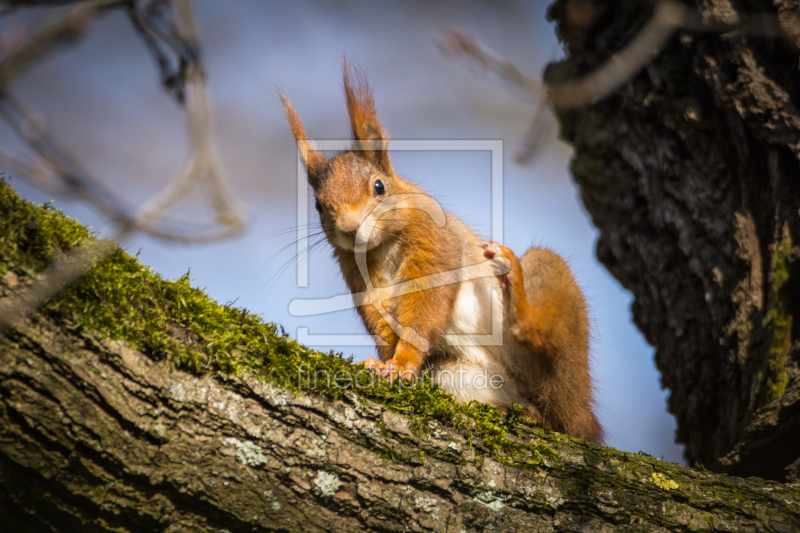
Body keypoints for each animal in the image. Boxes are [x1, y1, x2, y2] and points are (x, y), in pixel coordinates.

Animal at [280, 64, 600, 442]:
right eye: (318, 205)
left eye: (379, 187)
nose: (349, 228)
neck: (381, 247)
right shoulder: (358, 277)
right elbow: (381, 324)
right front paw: (383, 362)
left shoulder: (435, 245)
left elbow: (424, 307)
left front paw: (401, 364)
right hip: (457, 376)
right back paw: (520, 412)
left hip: (556, 323)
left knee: (543, 350)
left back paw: (516, 293)